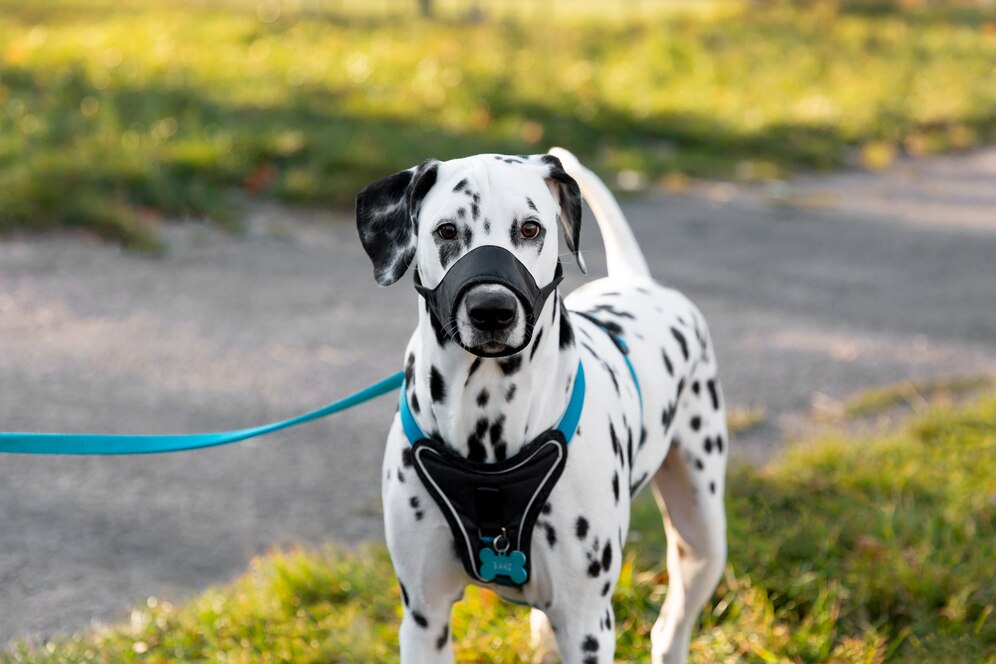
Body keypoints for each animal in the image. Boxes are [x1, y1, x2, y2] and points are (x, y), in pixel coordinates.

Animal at [354, 148, 728, 660]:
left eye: (531, 228)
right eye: (447, 230)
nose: (491, 309)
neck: (488, 423)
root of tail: (639, 281)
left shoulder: (587, 624)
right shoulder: (423, 617)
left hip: (702, 536)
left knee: (670, 627)